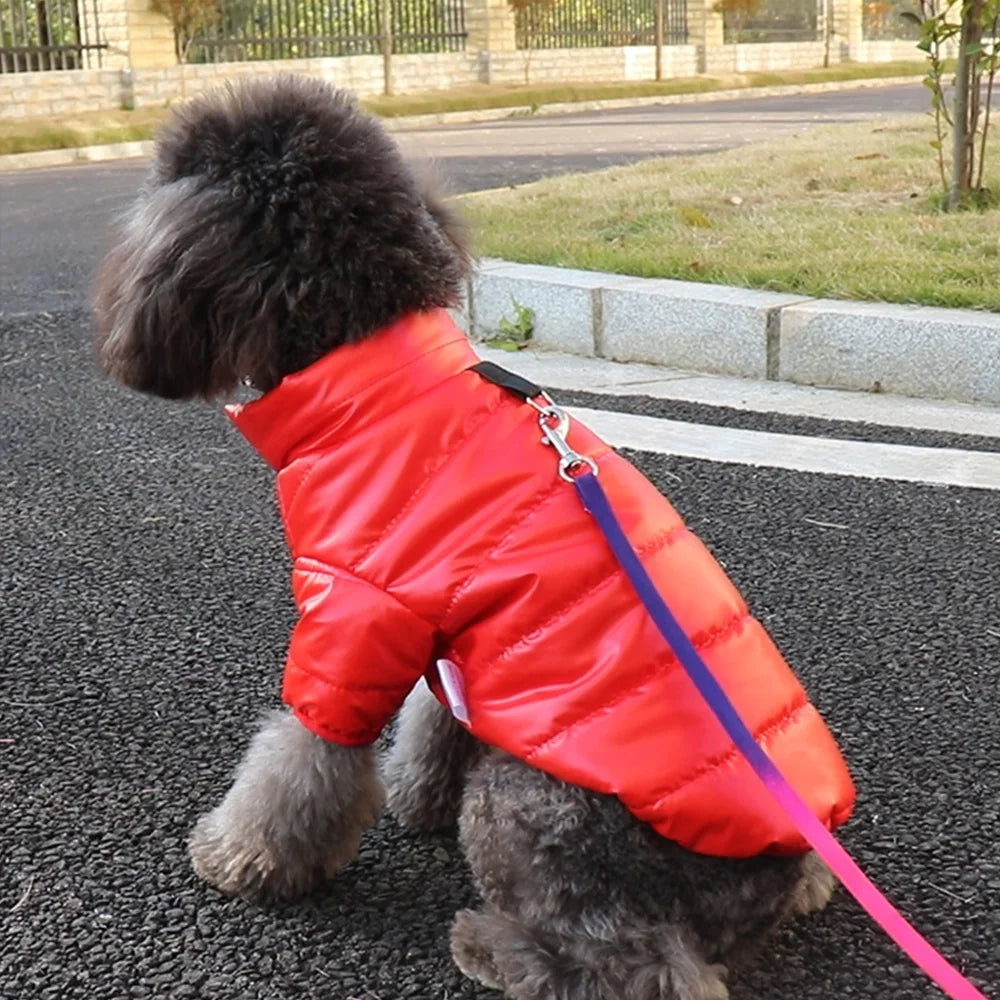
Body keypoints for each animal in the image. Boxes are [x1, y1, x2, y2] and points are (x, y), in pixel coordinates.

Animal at [92, 76, 852, 1000]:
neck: (376, 375)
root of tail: (773, 872)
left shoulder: (354, 615)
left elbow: (301, 754)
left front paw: (244, 857)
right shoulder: (444, 631)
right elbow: (432, 719)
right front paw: (415, 796)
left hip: (532, 802)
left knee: (644, 966)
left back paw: (495, 947)